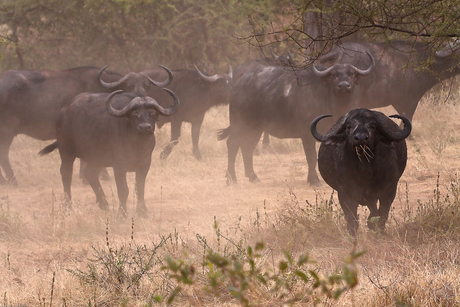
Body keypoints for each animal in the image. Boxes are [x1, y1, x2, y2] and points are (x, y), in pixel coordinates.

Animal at [38, 89, 179, 218]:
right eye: (135, 114)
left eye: (152, 113)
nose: (145, 127)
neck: (136, 145)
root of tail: (64, 111)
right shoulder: (119, 166)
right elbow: (123, 190)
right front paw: (122, 214)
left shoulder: (145, 164)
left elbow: (139, 188)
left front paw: (143, 212)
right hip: (66, 151)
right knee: (66, 174)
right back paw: (68, 206)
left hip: (96, 158)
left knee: (90, 174)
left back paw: (104, 203)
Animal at [218, 53, 374, 185]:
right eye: (334, 75)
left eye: (351, 74)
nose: (343, 86)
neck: (332, 103)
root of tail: (238, 86)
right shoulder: (307, 135)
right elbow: (311, 157)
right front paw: (314, 180)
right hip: (239, 124)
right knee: (232, 144)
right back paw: (231, 178)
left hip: (255, 128)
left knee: (247, 147)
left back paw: (252, 176)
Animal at [310, 109, 412, 237]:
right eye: (348, 126)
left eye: (373, 126)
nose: (361, 138)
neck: (364, 172)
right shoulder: (344, 194)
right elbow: (352, 221)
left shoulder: (389, 191)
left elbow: (382, 216)